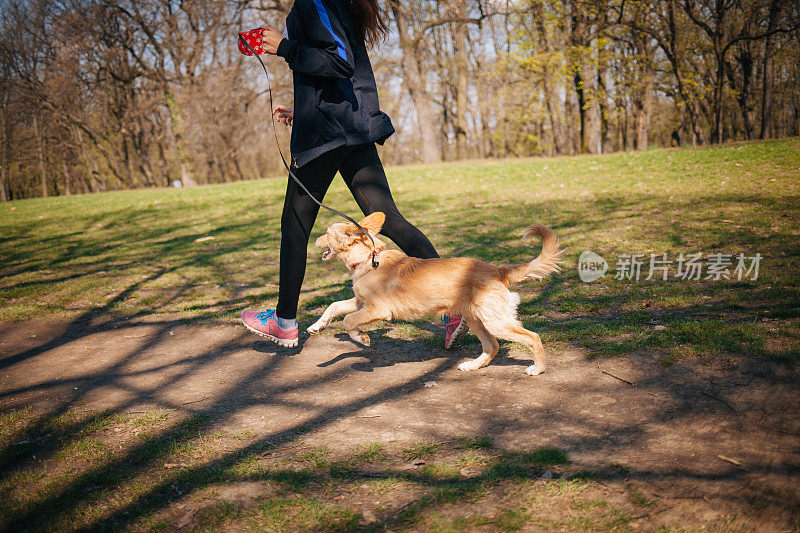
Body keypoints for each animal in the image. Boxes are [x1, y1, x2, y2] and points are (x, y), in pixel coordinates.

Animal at [308, 211, 564, 374]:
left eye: (326, 233)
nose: (314, 240)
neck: (369, 259)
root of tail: (498, 270)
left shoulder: (378, 309)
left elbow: (349, 321)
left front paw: (361, 337)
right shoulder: (361, 302)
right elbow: (334, 307)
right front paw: (316, 327)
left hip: (496, 321)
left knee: (532, 337)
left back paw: (538, 368)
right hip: (477, 319)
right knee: (492, 346)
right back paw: (472, 365)